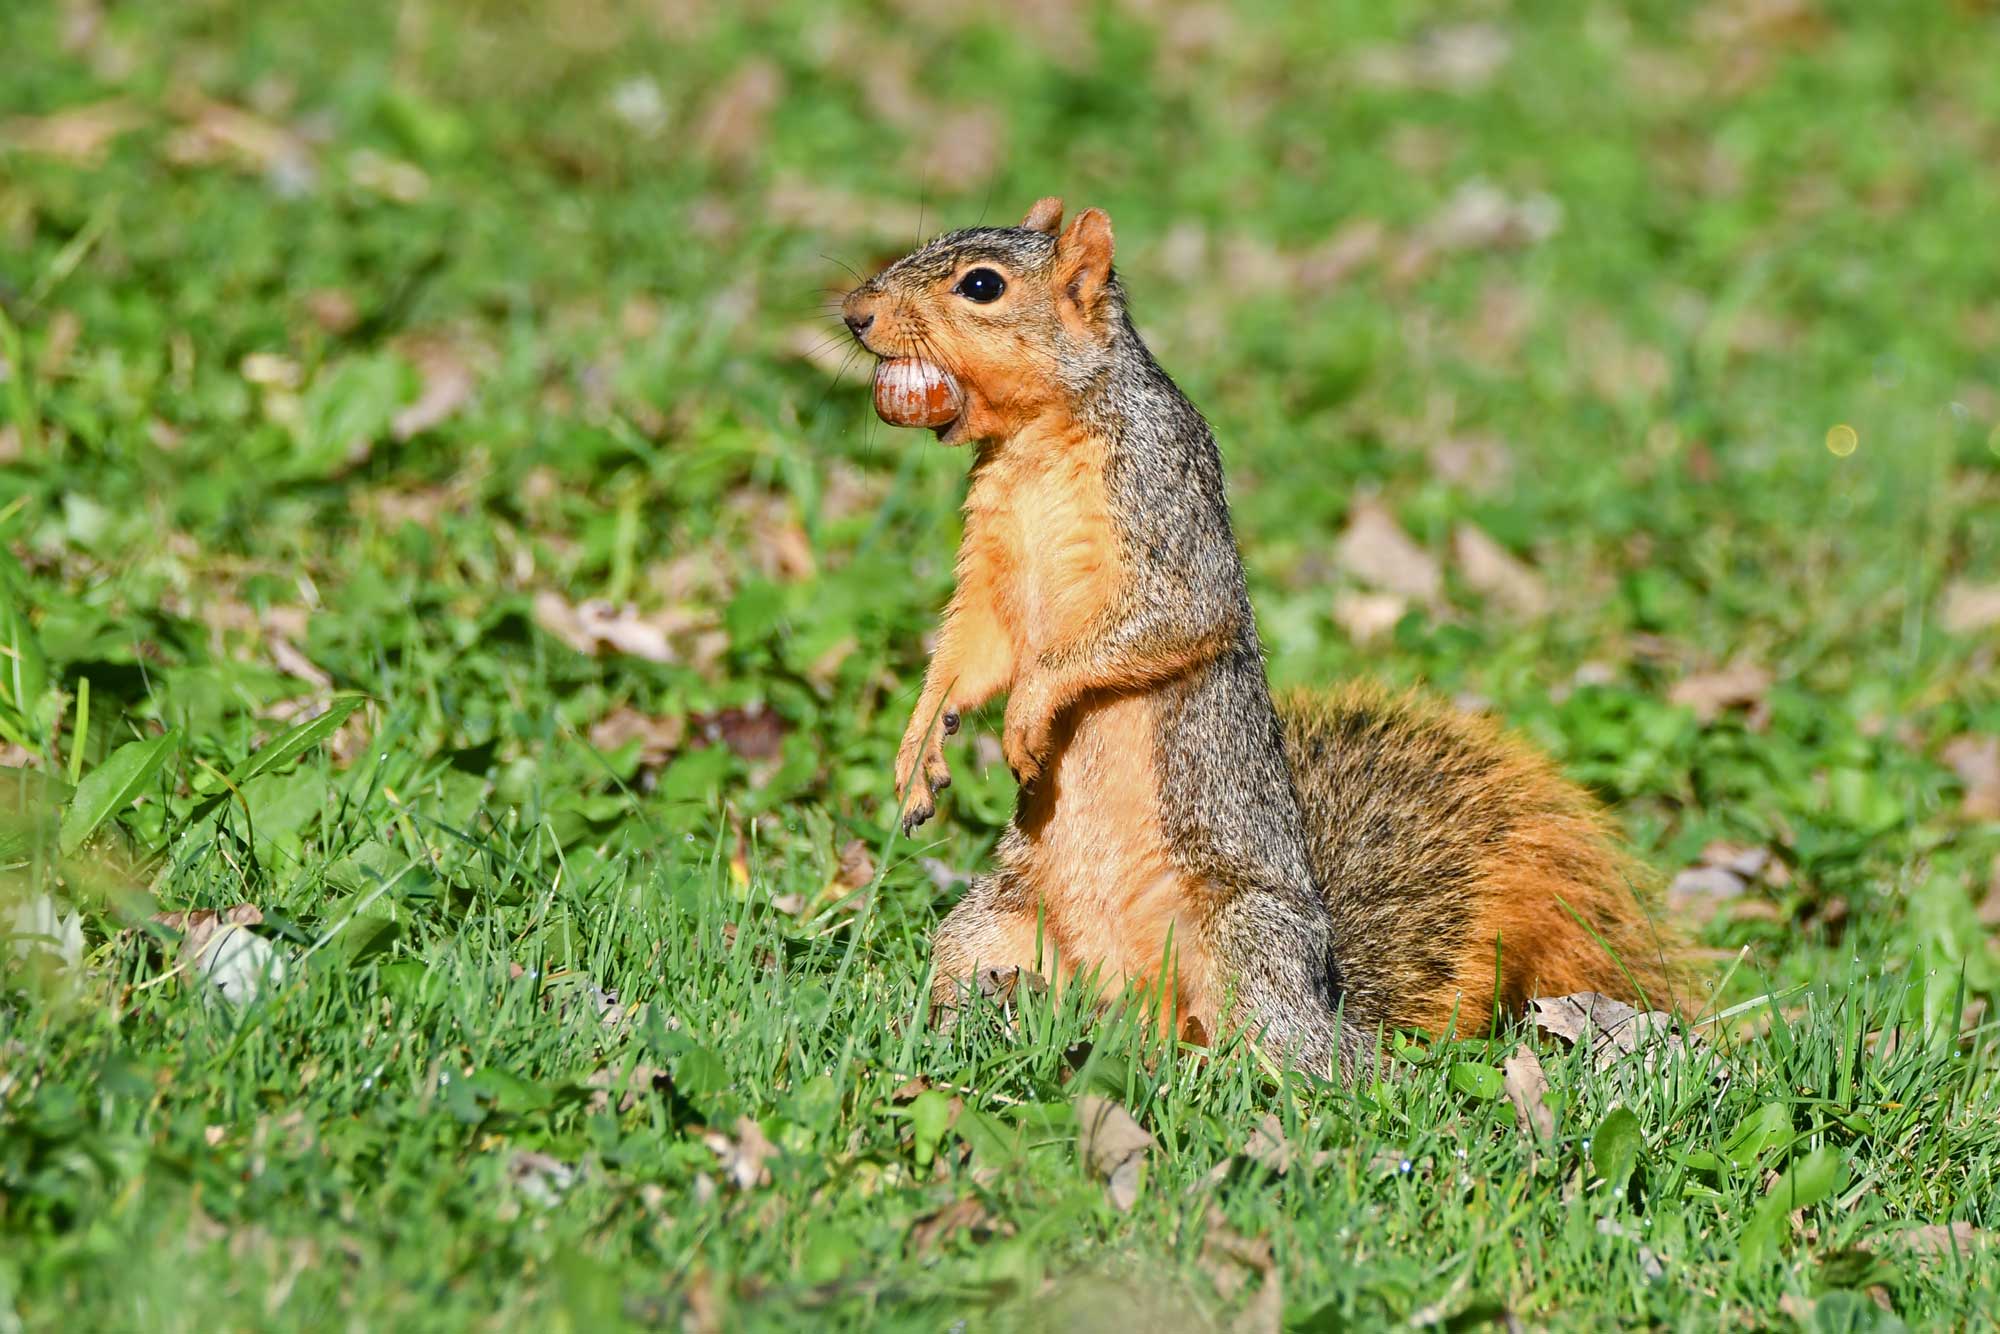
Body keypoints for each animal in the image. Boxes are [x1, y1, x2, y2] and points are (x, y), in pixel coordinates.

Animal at [840, 197, 1679, 1077]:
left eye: (982, 286)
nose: (855, 313)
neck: (1038, 437)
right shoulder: (990, 557)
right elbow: (973, 650)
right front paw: (920, 745)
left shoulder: (1163, 501)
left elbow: (1171, 619)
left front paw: (1029, 711)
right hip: (998, 920)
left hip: (1242, 937)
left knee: (1275, 1053)